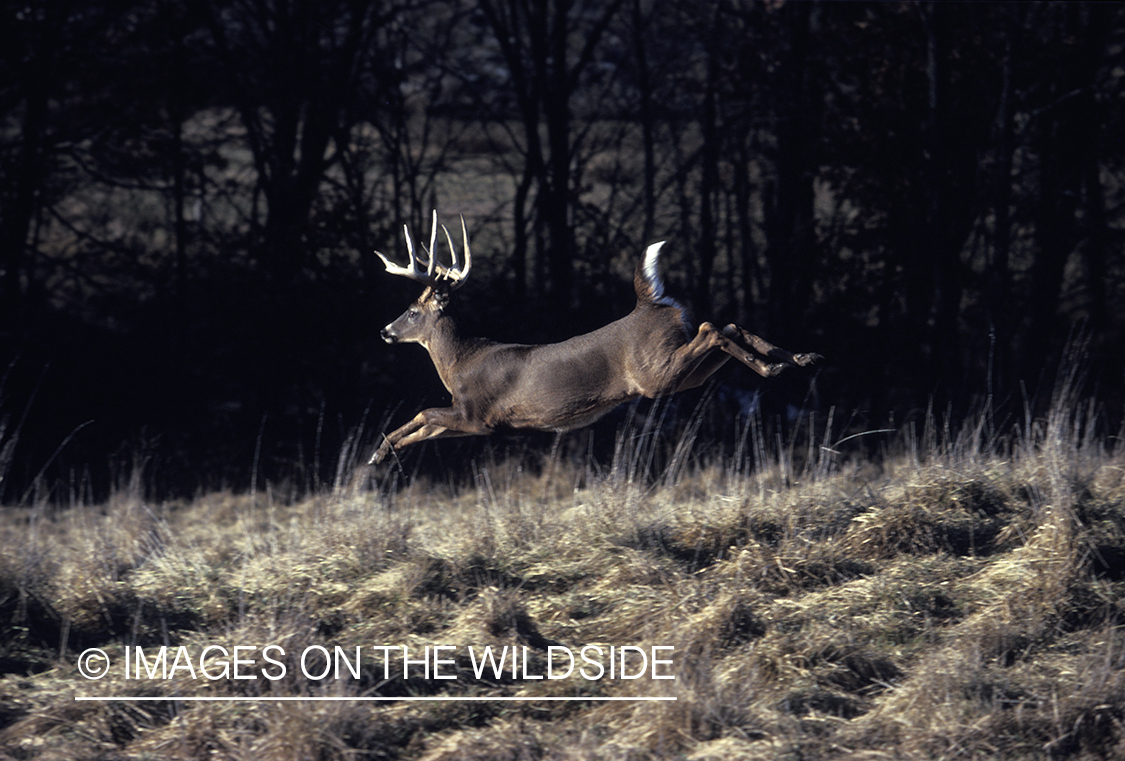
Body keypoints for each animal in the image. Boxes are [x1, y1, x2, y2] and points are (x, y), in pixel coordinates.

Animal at [369, 210, 819, 466]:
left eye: (412, 311)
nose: (385, 331)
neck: (460, 362)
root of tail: (650, 304)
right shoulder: (476, 422)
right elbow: (424, 425)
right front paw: (382, 453)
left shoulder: (479, 414)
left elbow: (425, 413)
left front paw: (379, 449)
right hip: (680, 373)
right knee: (727, 326)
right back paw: (797, 359)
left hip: (657, 373)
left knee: (712, 329)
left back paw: (776, 366)